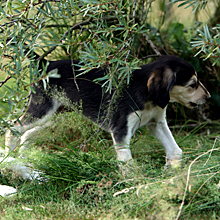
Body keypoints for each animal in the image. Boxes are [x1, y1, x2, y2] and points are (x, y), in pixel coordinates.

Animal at [3, 54, 210, 179]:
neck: (145, 90)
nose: (208, 97)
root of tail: (45, 63)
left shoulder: (156, 123)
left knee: (27, 134)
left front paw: (170, 170)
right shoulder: (121, 131)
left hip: (57, 115)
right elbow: (127, 163)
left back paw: (26, 159)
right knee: (13, 129)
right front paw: (134, 183)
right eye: (192, 84)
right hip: (42, 110)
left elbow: (175, 150)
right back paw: (10, 158)